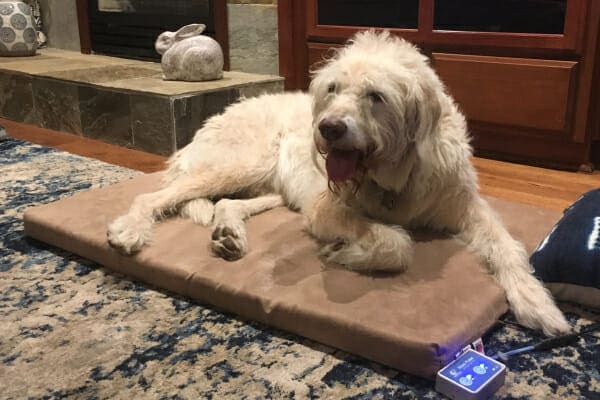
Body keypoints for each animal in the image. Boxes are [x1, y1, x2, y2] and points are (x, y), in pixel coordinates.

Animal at [108, 32, 572, 338]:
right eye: (332, 88)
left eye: (376, 96)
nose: (327, 129)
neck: (392, 176)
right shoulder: (325, 207)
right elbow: (396, 243)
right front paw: (347, 252)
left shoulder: (464, 205)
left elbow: (506, 246)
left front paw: (536, 303)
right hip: (237, 165)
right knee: (155, 194)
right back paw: (130, 229)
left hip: (269, 189)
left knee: (226, 204)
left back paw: (228, 233)